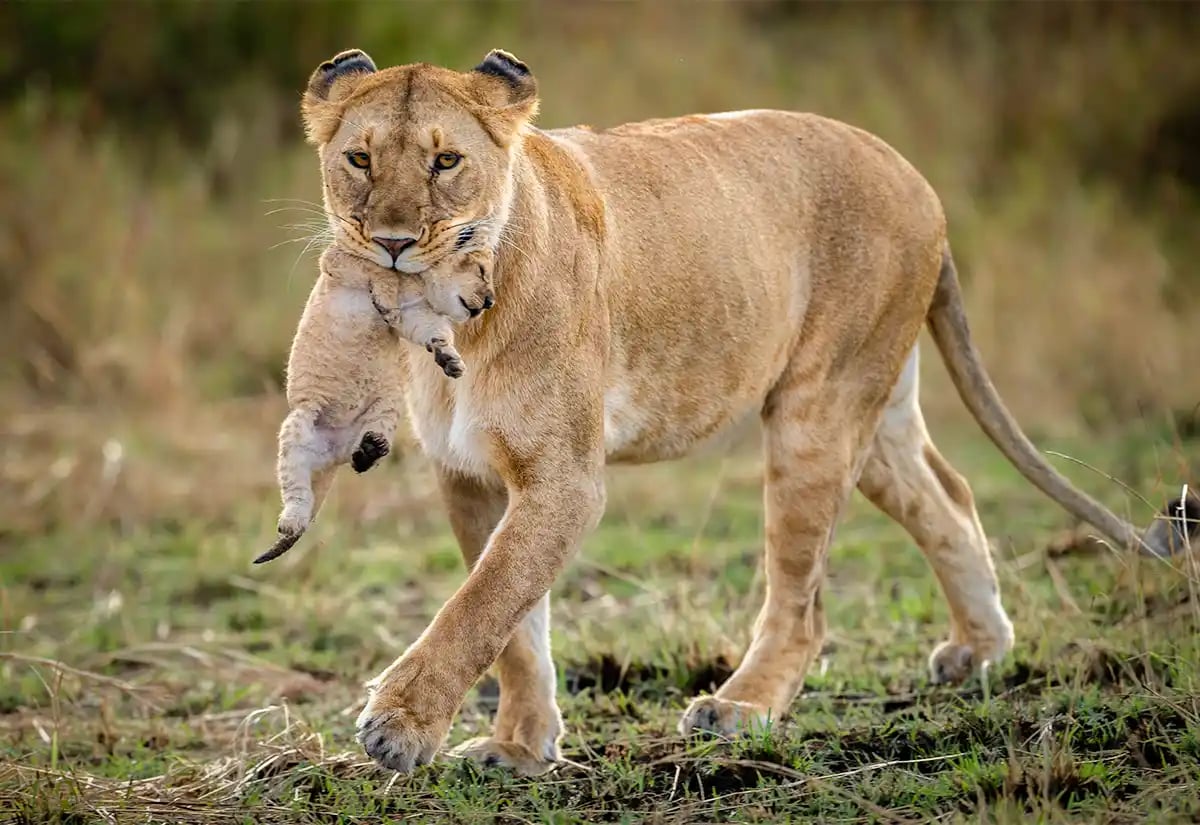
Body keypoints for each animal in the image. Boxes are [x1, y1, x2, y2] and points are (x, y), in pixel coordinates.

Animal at [257, 244, 494, 565]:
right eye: (481, 271)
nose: (491, 301)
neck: (418, 286)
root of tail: (332, 455)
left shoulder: (412, 314)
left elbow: (427, 328)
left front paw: (450, 359)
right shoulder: (337, 263)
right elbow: (376, 271)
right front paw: (385, 294)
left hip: (387, 407)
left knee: (357, 459)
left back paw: (370, 449)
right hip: (298, 427)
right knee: (297, 492)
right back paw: (291, 522)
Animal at [289, 48, 1195, 776]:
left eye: (446, 160)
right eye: (359, 158)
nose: (392, 243)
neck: (461, 322)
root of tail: (914, 176)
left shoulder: (566, 478)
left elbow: (481, 602)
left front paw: (399, 726)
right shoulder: (470, 473)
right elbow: (513, 623)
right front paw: (519, 744)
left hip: (815, 412)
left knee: (805, 604)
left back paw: (739, 707)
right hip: (874, 413)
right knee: (950, 497)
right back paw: (978, 648)